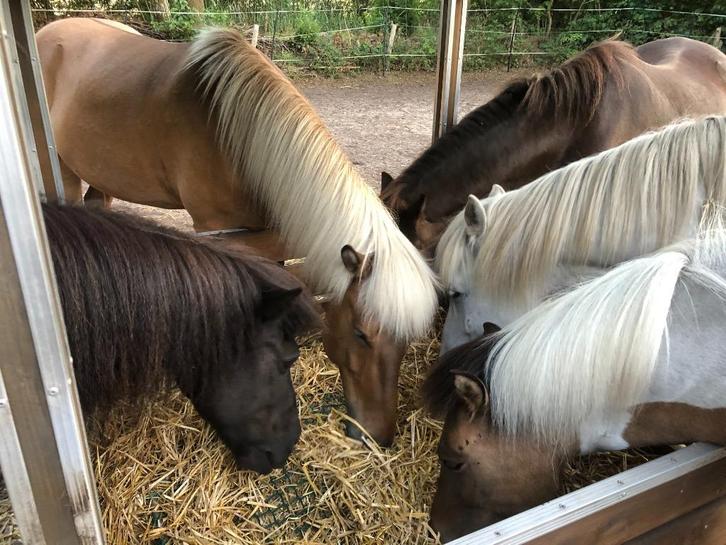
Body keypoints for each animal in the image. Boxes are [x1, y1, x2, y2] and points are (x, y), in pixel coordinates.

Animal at [36, 18, 438, 446]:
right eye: (362, 334)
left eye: (407, 339)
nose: (378, 436)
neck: (239, 137)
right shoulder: (217, 230)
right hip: (62, 174)